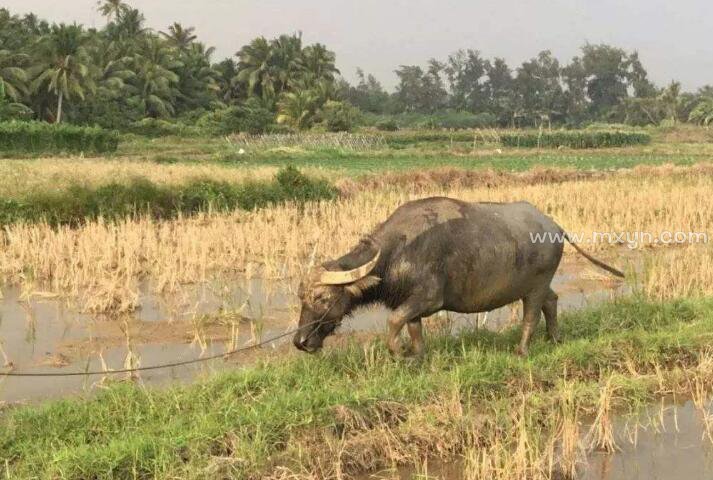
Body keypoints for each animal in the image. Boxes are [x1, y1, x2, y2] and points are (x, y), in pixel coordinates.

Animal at [292, 196, 620, 356]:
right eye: (301, 299)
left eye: (323, 298)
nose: (300, 341)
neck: (396, 252)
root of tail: (554, 227)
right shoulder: (412, 304)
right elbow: (414, 330)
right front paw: (417, 356)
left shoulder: (428, 298)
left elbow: (394, 321)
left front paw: (398, 352)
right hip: (537, 284)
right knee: (552, 301)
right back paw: (555, 339)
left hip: (536, 286)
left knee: (532, 314)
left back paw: (522, 350)